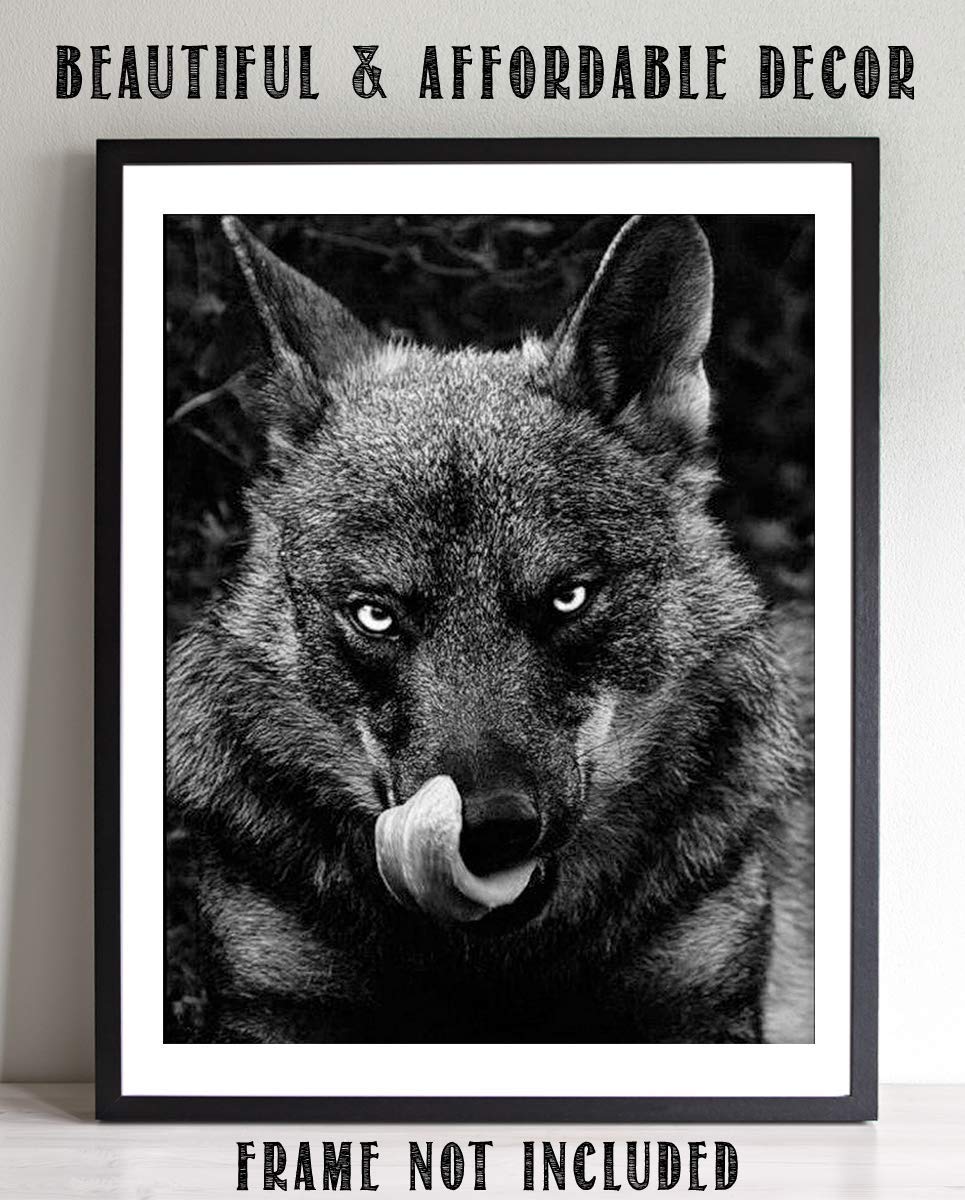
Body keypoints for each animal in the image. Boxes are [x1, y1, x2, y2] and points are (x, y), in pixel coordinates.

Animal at [167, 214, 814, 1044]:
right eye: (375, 614)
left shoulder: (698, 1010)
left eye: (567, 598)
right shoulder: (272, 1005)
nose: (492, 829)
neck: (494, 972)